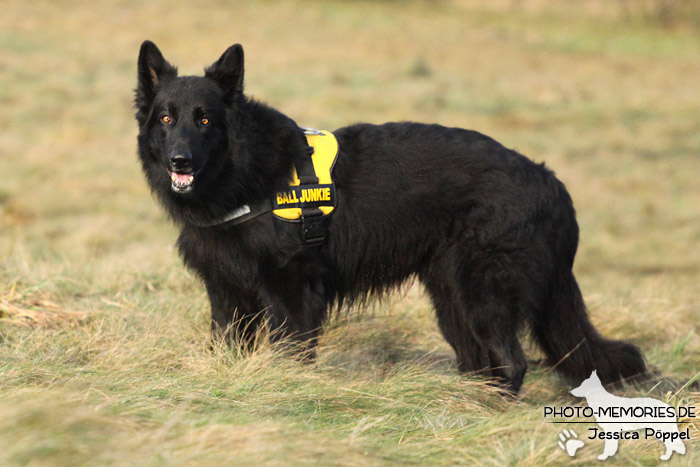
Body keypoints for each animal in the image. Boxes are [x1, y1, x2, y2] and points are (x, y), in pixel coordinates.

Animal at [135, 40, 644, 394]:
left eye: (204, 119)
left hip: (482, 293)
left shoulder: (292, 291)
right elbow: (228, 346)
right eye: (166, 119)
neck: (246, 173)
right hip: (451, 299)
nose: (180, 161)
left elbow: (290, 353)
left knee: (511, 361)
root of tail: (549, 181)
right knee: (479, 361)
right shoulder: (227, 294)